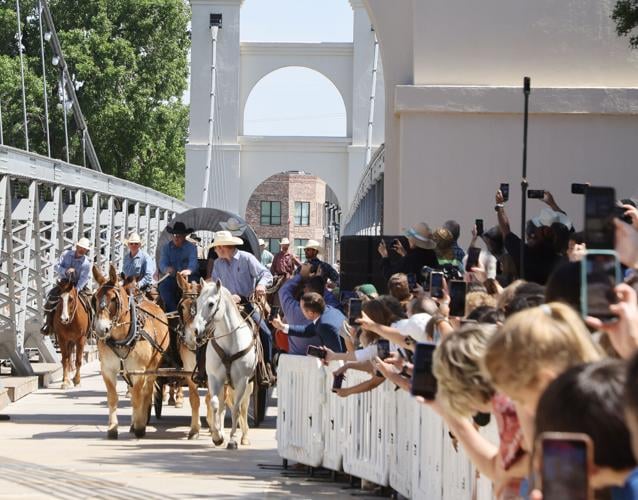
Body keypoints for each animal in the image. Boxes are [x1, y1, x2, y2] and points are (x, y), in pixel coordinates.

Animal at [92, 264, 170, 440]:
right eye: (95, 299)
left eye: (114, 299)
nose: (101, 329)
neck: (122, 337)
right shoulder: (108, 370)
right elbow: (113, 398)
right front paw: (112, 428)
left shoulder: (138, 370)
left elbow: (137, 398)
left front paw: (140, 427)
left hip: (152, 367)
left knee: (147, 392)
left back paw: (140, 422)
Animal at [182, 278, 255, 450]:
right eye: (197, 302)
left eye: (211, 304)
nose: (195, 331)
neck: (230, 341)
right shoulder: (215, 378)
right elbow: (215, 404)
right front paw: (217, 436)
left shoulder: (242, 381)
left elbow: (236, 409)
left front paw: (233, 439)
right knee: (222, 405)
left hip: (248, 385)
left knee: (243, 406)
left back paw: (244, 436)